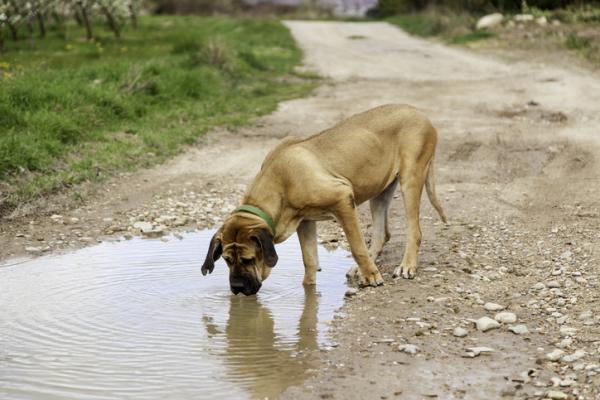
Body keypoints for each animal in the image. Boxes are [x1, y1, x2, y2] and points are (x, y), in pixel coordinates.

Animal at [202, 104, 446, 296]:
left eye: (248, 259)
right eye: (226, 260)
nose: (236, 288)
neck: (279, 185)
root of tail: (420, 113)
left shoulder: (342, 199)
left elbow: (356, 245)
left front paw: (371, 277)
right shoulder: (305, 222)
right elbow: (309, 259)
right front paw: (308, 289)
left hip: (410, 178)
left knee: (414, 230)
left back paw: (405, 266)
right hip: (380, 190)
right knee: (381, 233)